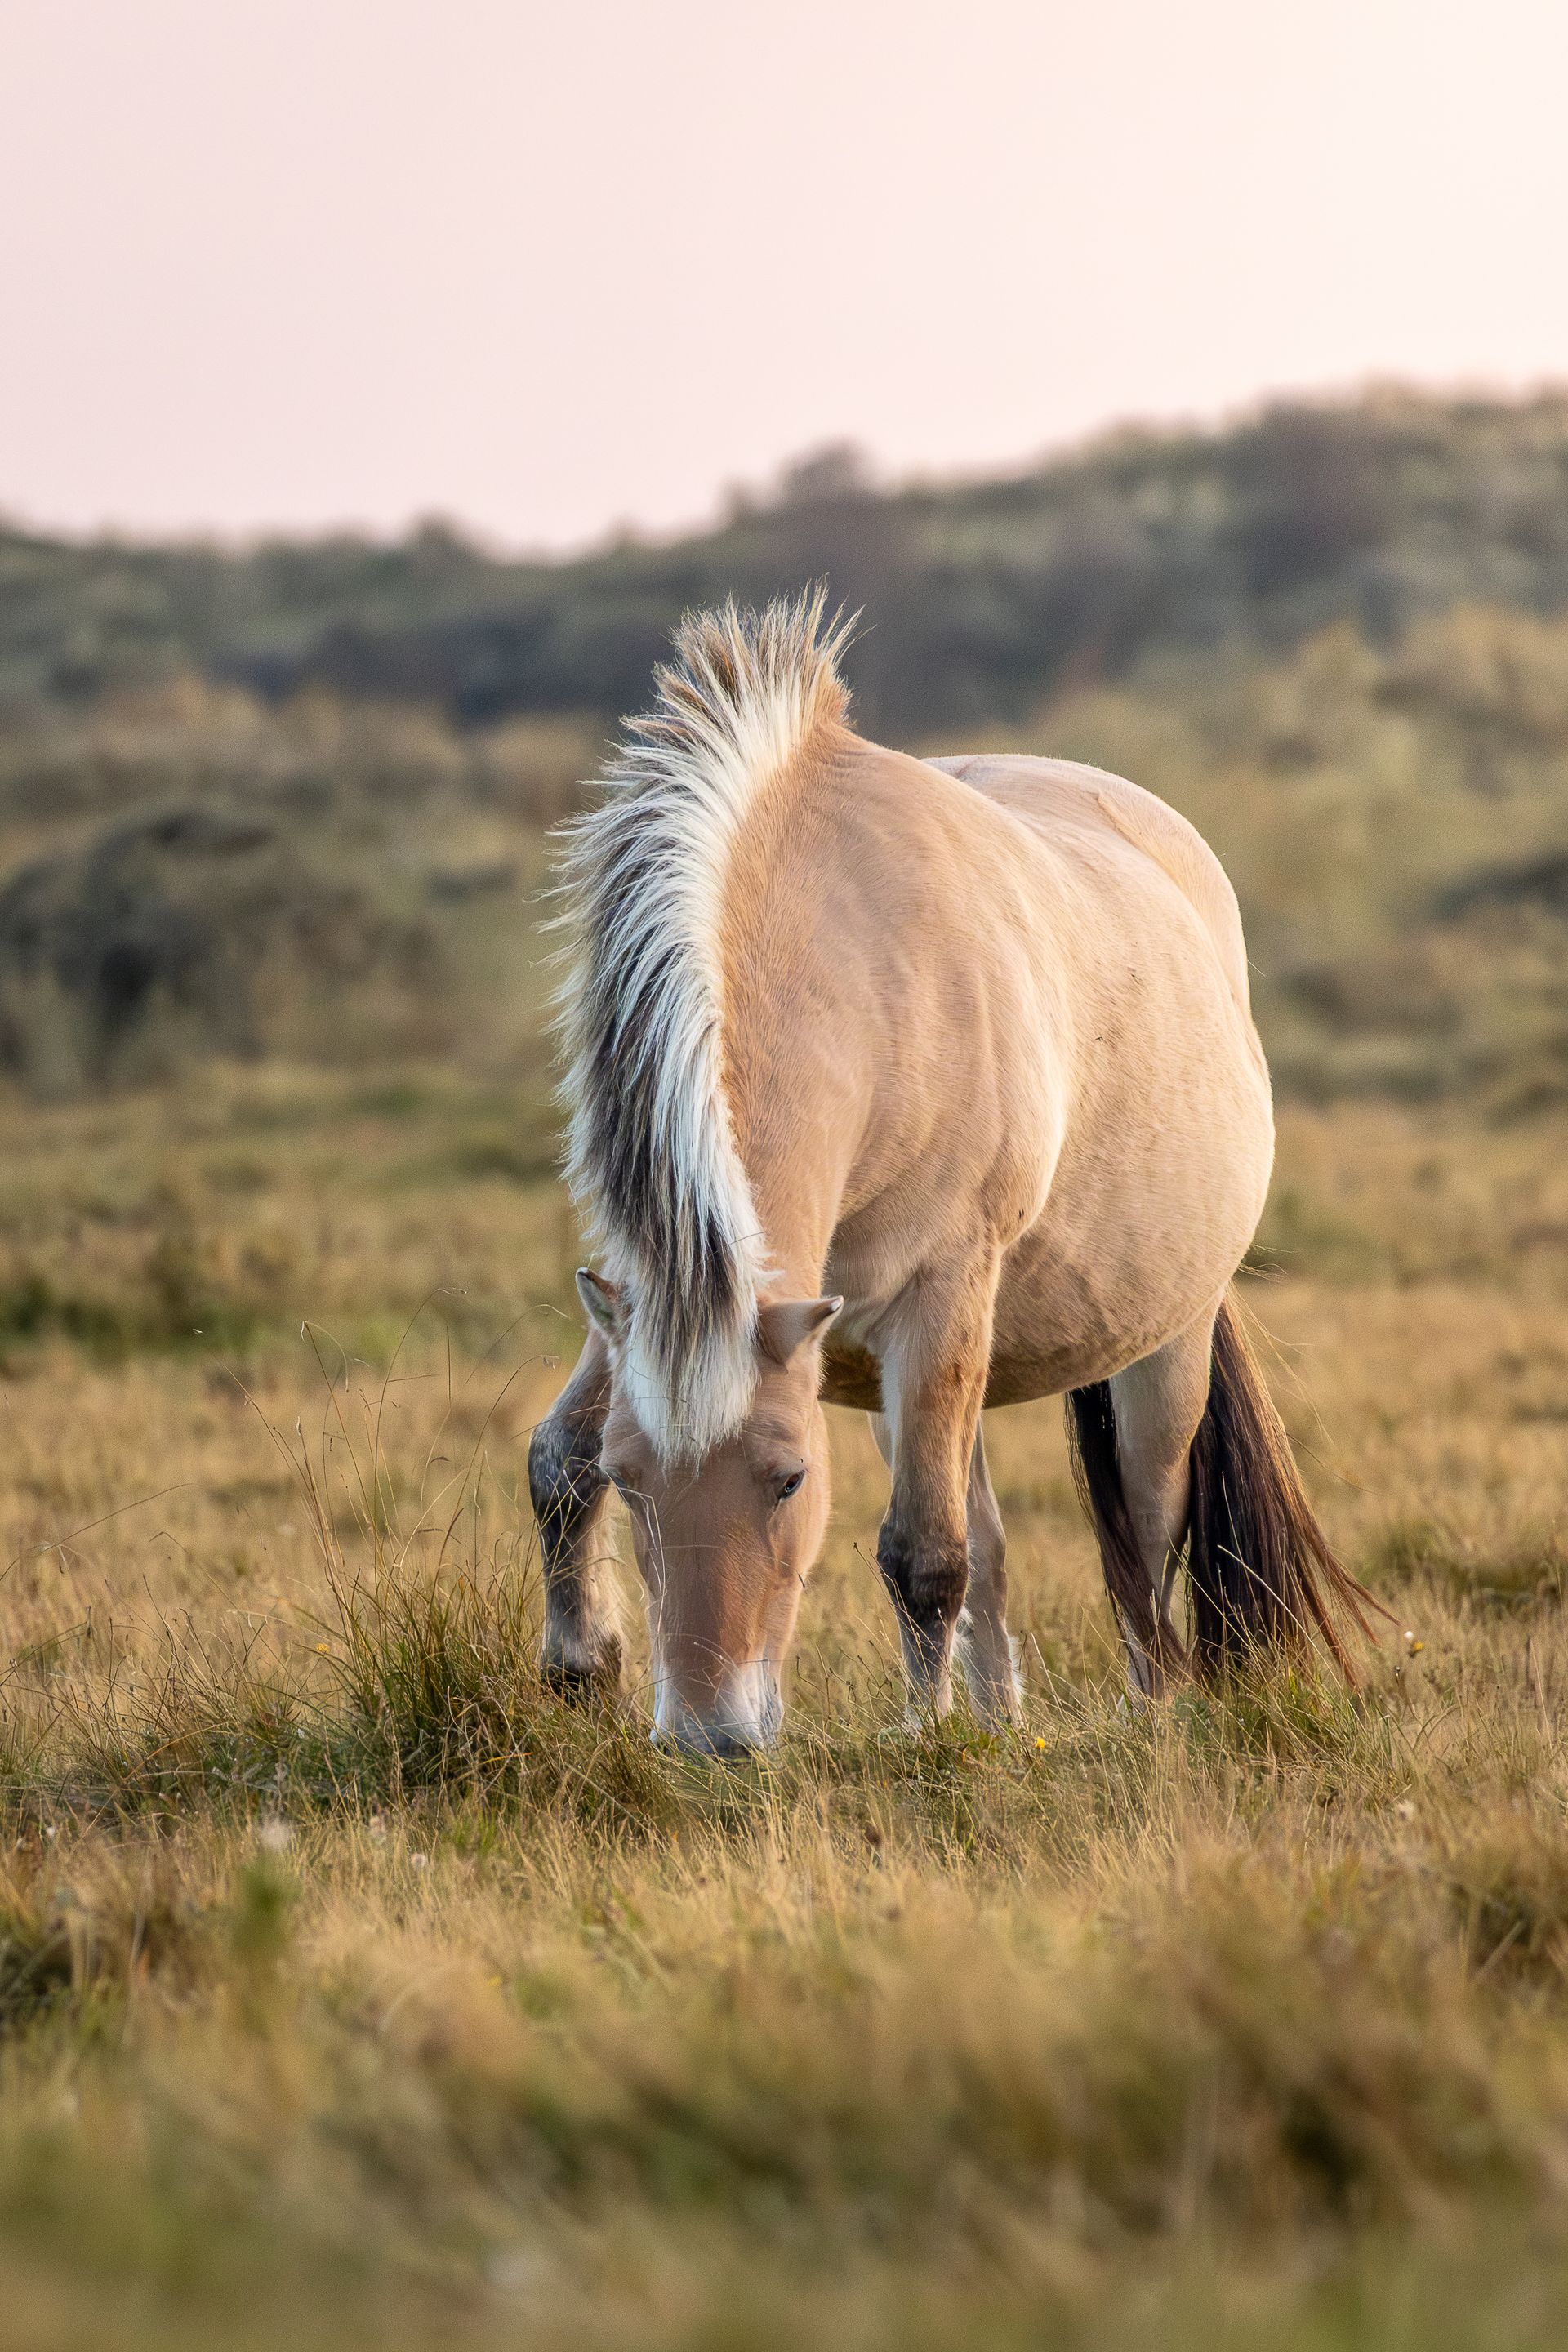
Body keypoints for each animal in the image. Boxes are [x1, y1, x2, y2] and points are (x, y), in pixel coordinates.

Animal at [528, 593, 1374, 1755]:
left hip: (1158, 1352)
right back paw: (1000, 1721)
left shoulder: (942, 1303)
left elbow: (924, 1555)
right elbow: (555, 1460)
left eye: (790, 1480)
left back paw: (1151, 1713)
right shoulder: (659, 1302)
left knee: (1143, 1539)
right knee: (999, 1546)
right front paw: (579, 1663)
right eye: (633, 1479)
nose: (707, 1737)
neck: (871, 978)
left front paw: (922, 1741)